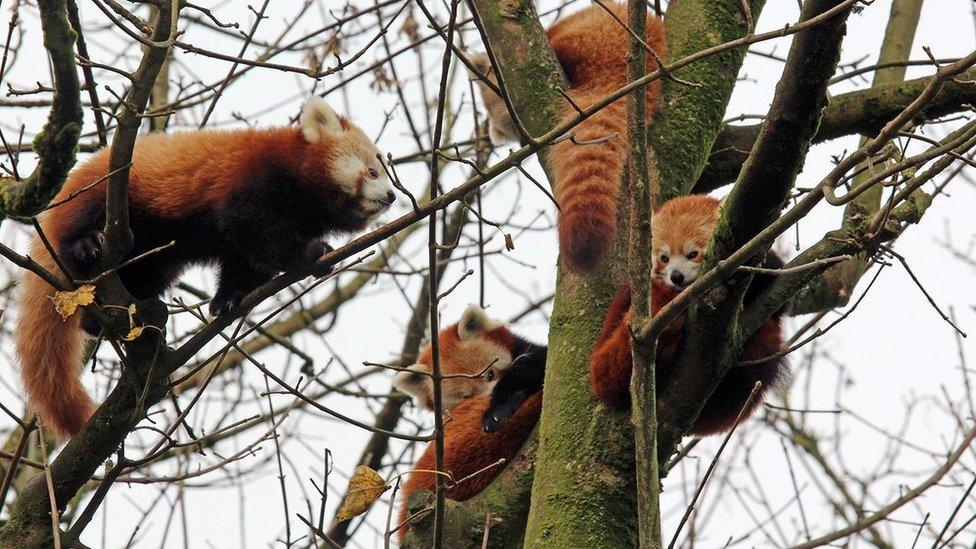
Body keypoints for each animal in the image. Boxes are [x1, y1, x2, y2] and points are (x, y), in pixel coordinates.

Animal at [17, 96, 396, 438]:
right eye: (373, 171)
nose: (392, 195)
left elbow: (245, 262)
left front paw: (228, 299)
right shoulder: (254, 178)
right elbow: (249, 223)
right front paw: (311, 254)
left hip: (151, 255)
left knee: (141, 277)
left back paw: (128, 314)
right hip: (106, 196)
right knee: (82, 229)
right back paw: (85, 248)